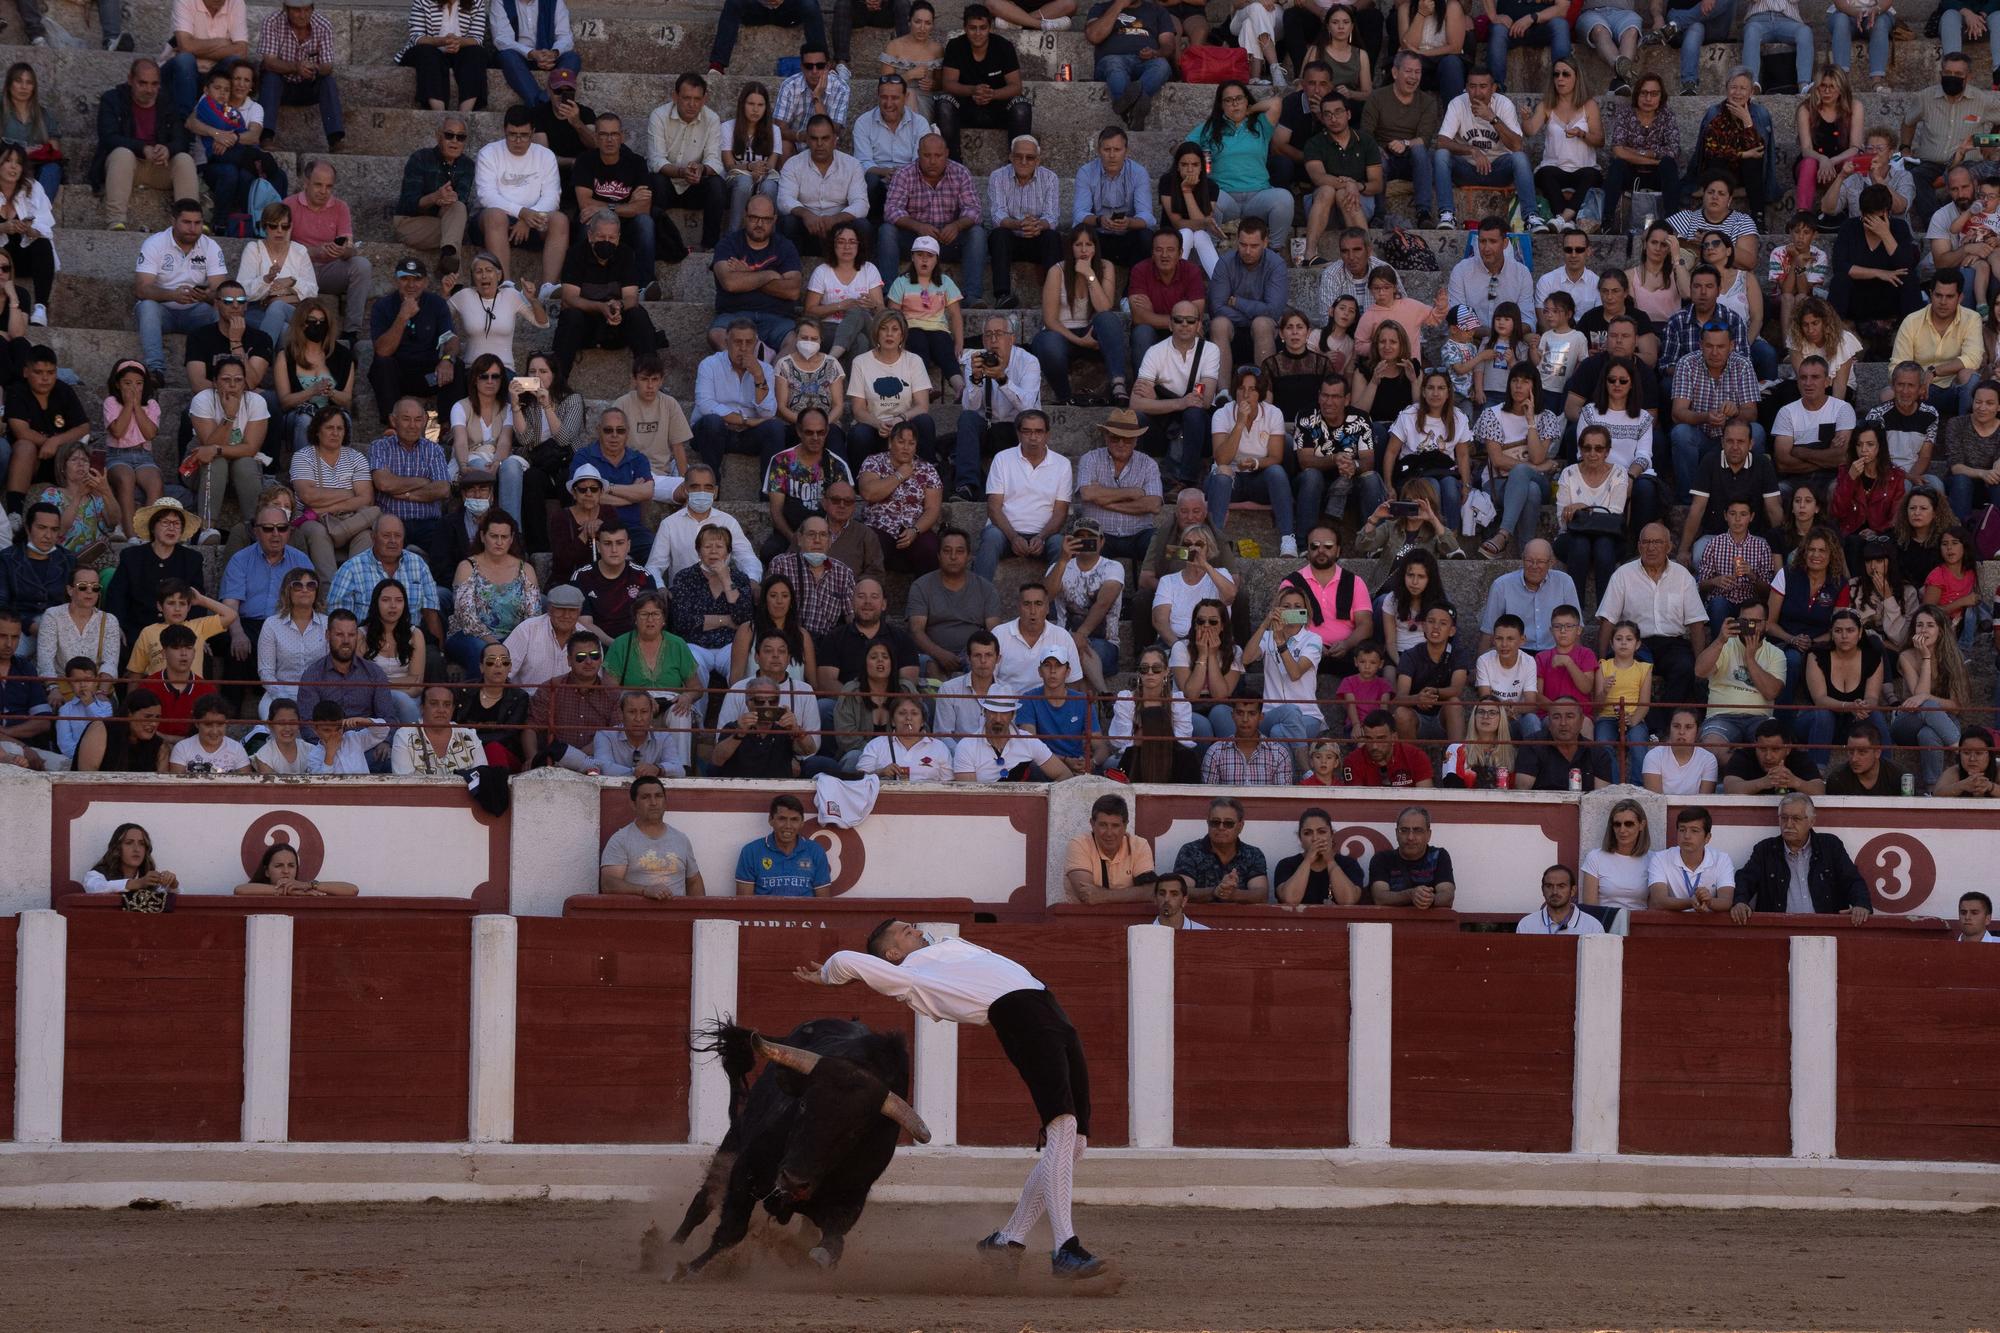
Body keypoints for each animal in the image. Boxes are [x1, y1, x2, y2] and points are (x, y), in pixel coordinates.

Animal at [656, 1012, 936, 1272]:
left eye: (856, 1132)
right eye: (802, 1105)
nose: (793, 1181)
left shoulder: (851, 1200)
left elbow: (831, 1244)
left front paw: (815, 1260)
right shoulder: (746, 1168)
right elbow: (731, 1229)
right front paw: (685, 1271)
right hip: (734, 1139)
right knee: (702, 1203)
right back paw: (664, 1252)